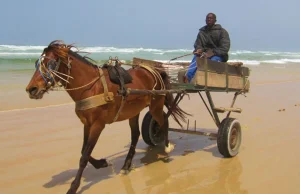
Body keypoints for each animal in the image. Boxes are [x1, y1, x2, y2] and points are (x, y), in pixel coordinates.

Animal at [26, 40, 190, 193]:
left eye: (50, 63)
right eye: (36, 63)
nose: (31, 89)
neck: (90, 87)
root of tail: (153, 70)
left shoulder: (98, 125)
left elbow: (84, 156)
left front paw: (74, 186)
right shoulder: (87, 124)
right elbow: (84, 151)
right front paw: (101, 163)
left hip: (155, 106)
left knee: (163, 123)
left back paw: (167, 147)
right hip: (133, 111)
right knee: (136, 135)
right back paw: (126, 165)